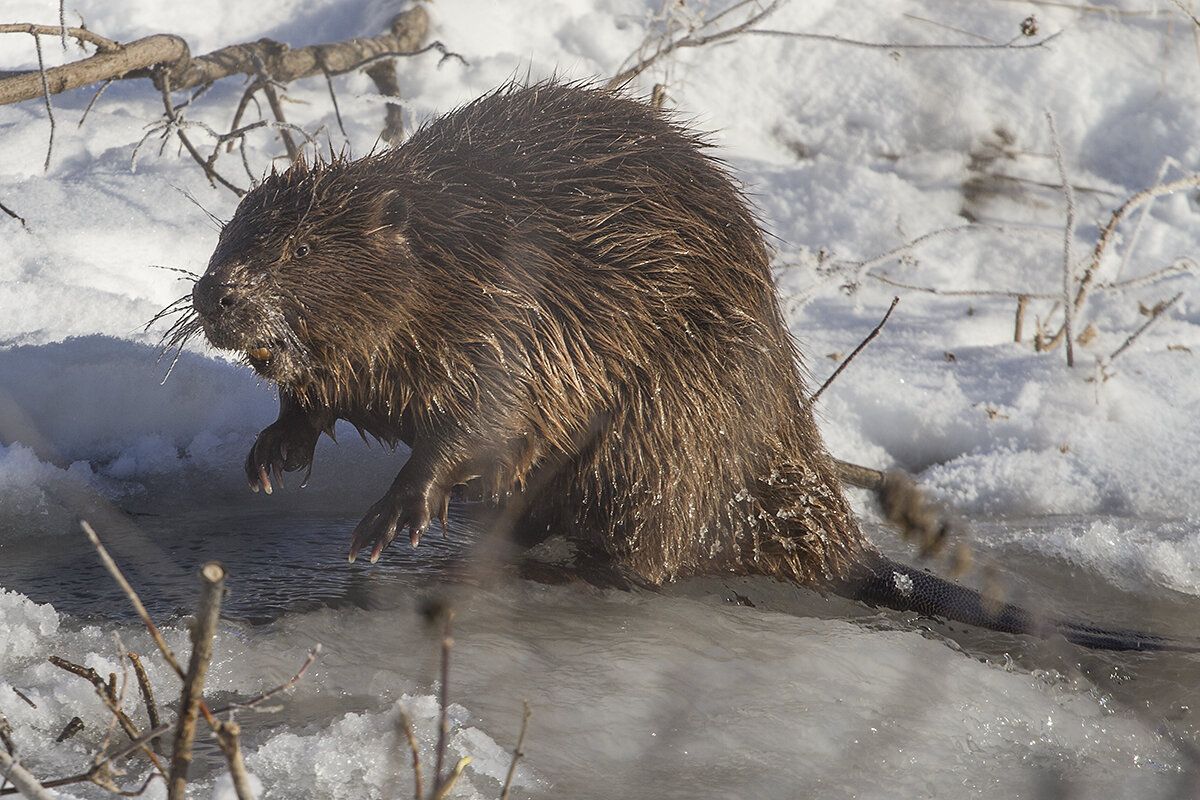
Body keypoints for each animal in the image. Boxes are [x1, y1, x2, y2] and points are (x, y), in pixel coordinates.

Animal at [169, 79, 1180, 652]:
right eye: (231, 229)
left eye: (301, 249)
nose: (218, 295)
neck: (452, 249)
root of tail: (844, 545)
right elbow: (322, 396)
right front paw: (272, 455)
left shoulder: (518, 310)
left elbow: (487, 417)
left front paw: (390, 521)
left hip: (676, 416)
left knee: (644, 554)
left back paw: (543, 568)